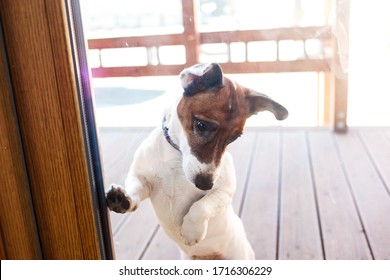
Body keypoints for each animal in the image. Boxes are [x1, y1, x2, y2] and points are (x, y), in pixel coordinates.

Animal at [105, 62, 288, 260]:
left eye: (234, 138)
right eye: (201, 125)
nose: (205, 184)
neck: (177, 159)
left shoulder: (224, 191)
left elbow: (202, 205)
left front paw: (192, 230)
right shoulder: (141, 178)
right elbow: (135, 189)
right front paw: (122, 199)